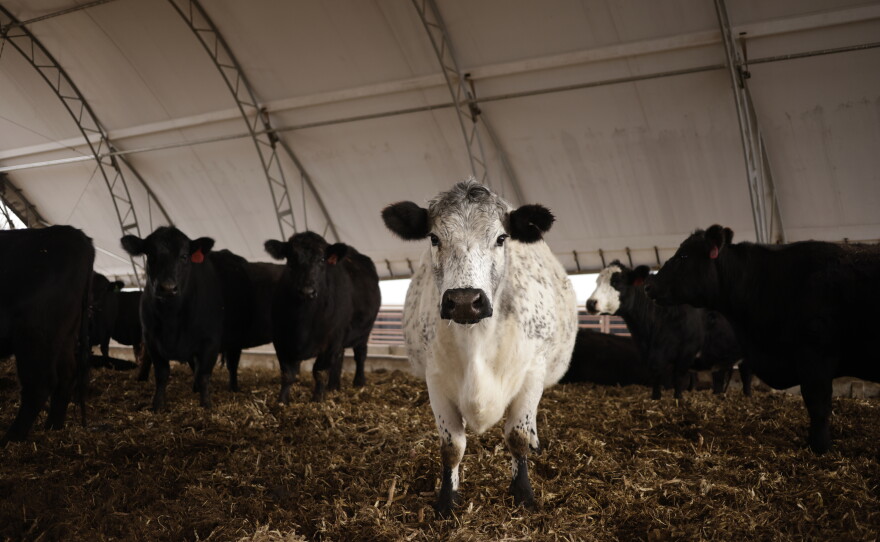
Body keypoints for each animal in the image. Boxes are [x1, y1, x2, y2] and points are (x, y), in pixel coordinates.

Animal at [0, 225, 94, 444]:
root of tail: (75, 234)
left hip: (35, 333)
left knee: (40, 383)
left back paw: (11, 438)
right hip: (65, 336)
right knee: (67, 374)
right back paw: (53, 427)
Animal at [121, 227, 282, 410]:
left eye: (184, 256)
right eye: (151, 255)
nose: (167, 287)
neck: (172, 320)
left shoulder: (210, 341)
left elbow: (203, 374)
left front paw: (206, 405)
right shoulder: (151, 339)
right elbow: (162, 374)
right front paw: (157, 405)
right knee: (233, 363)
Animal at [264, 231, 381, 403]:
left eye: (321, 260)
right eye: (291, 259)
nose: (307, 291)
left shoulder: (330, 341)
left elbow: (320, 372)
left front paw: (317, 400)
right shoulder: (281, 340)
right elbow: (288, 374)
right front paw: (281, 401)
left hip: (364, 331)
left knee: (360, 355)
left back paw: (359, 382)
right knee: (339, 358)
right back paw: (333, 386)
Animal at [382, 180, 578, 515]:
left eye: (501, 238)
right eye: (434, 237)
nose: (464, 300)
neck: (476, 342)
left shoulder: (533, 373)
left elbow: (517, 436)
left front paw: (523, 493)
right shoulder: (436, 379)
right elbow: (452, 447)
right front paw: (447, 500)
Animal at [586, 261, 749, 399]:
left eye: (616, 282)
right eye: (597, 282)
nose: (590, 303)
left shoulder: (685, 354)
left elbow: (678, 383)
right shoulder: (653, 360)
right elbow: (656, 385)